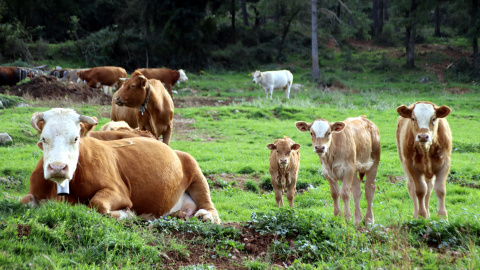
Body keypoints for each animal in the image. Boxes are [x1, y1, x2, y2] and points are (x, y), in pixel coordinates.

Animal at [20, 107, 219, 224]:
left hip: (195, 170)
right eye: (43, 138)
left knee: (211, 208)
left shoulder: (118, 191)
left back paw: (205, 216)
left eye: (76, 138)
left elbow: (98, 204)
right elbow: (25, 201)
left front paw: (127, 214)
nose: (58, 167)